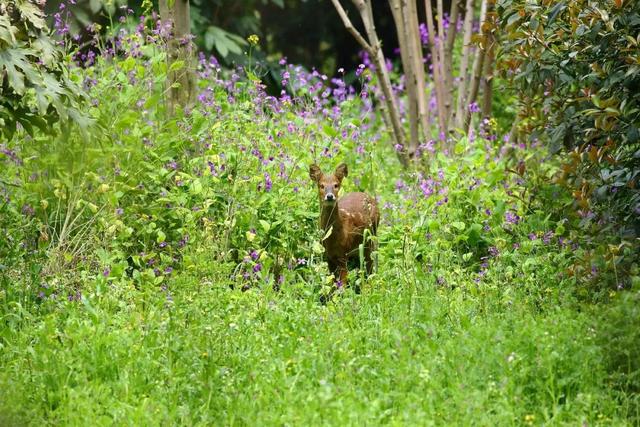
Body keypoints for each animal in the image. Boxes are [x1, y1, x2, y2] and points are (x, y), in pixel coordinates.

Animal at [310, 162, 380, 292]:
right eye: (321, 185)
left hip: (371, 237)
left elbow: (342, 285)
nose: (330, 196)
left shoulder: (343, 254)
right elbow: (332, 283)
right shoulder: (328, 256)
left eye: (336, 185)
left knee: (370, 263)